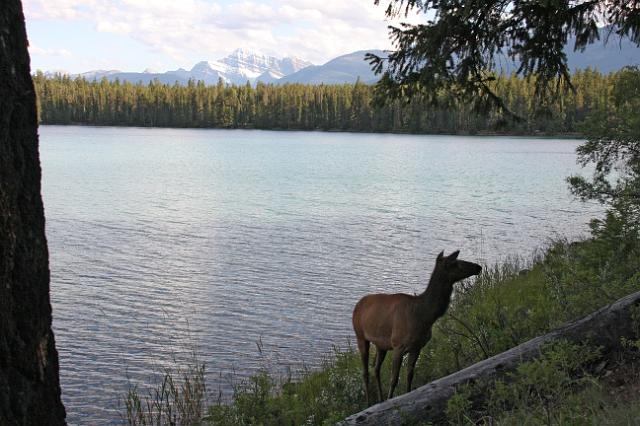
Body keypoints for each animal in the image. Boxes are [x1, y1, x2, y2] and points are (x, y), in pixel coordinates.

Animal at [352, 251, 482, 404]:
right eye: (455, 263)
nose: (478, 267)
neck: (423, 318)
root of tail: (357, 304)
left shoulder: (417, 347)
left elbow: (409, 376)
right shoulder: (398, 345)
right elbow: (394, 379)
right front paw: (391, 400)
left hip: (381, 345)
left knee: (376, 369)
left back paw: (380, 399)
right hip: (360, 335)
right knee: (365, 372)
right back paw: (369, 403)